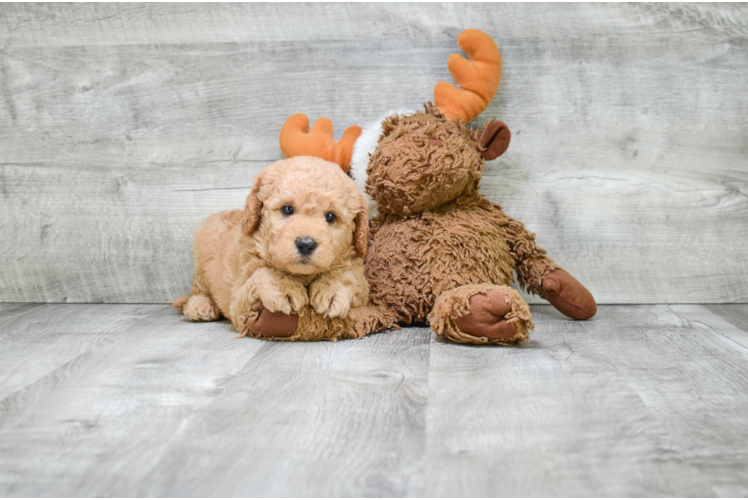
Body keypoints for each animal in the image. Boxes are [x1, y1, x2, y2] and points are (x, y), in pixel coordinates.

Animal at [170, 157, 368, 336]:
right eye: (287, 209)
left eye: (331, 216)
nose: (305, 244)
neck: (302, 275)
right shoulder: (239, 306)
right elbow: (264, 272)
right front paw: (285, 287)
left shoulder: (362, 285)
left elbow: (348, 275)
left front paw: (332, 290)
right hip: (202, 260)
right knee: (198, 290)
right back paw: (200, 305)